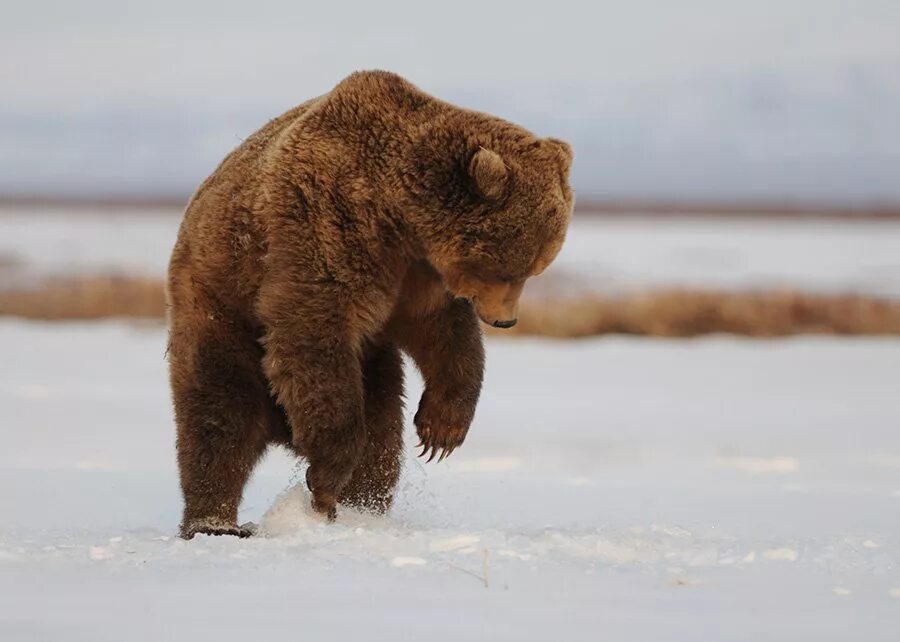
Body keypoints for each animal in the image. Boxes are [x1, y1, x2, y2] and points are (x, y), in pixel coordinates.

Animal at [165, 72, 572, 536]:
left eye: (534, 268)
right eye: (508, 270)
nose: (506, 321)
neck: (397, 214)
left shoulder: (416, 273)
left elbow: (441, 331)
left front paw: (441, 430)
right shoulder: (327, 224)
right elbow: (313, 334)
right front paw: (325, 477)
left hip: (374, 362)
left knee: (382, 433)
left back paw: (363, 508)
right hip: (220, 305)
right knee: (219, 417)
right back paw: (215, 521)